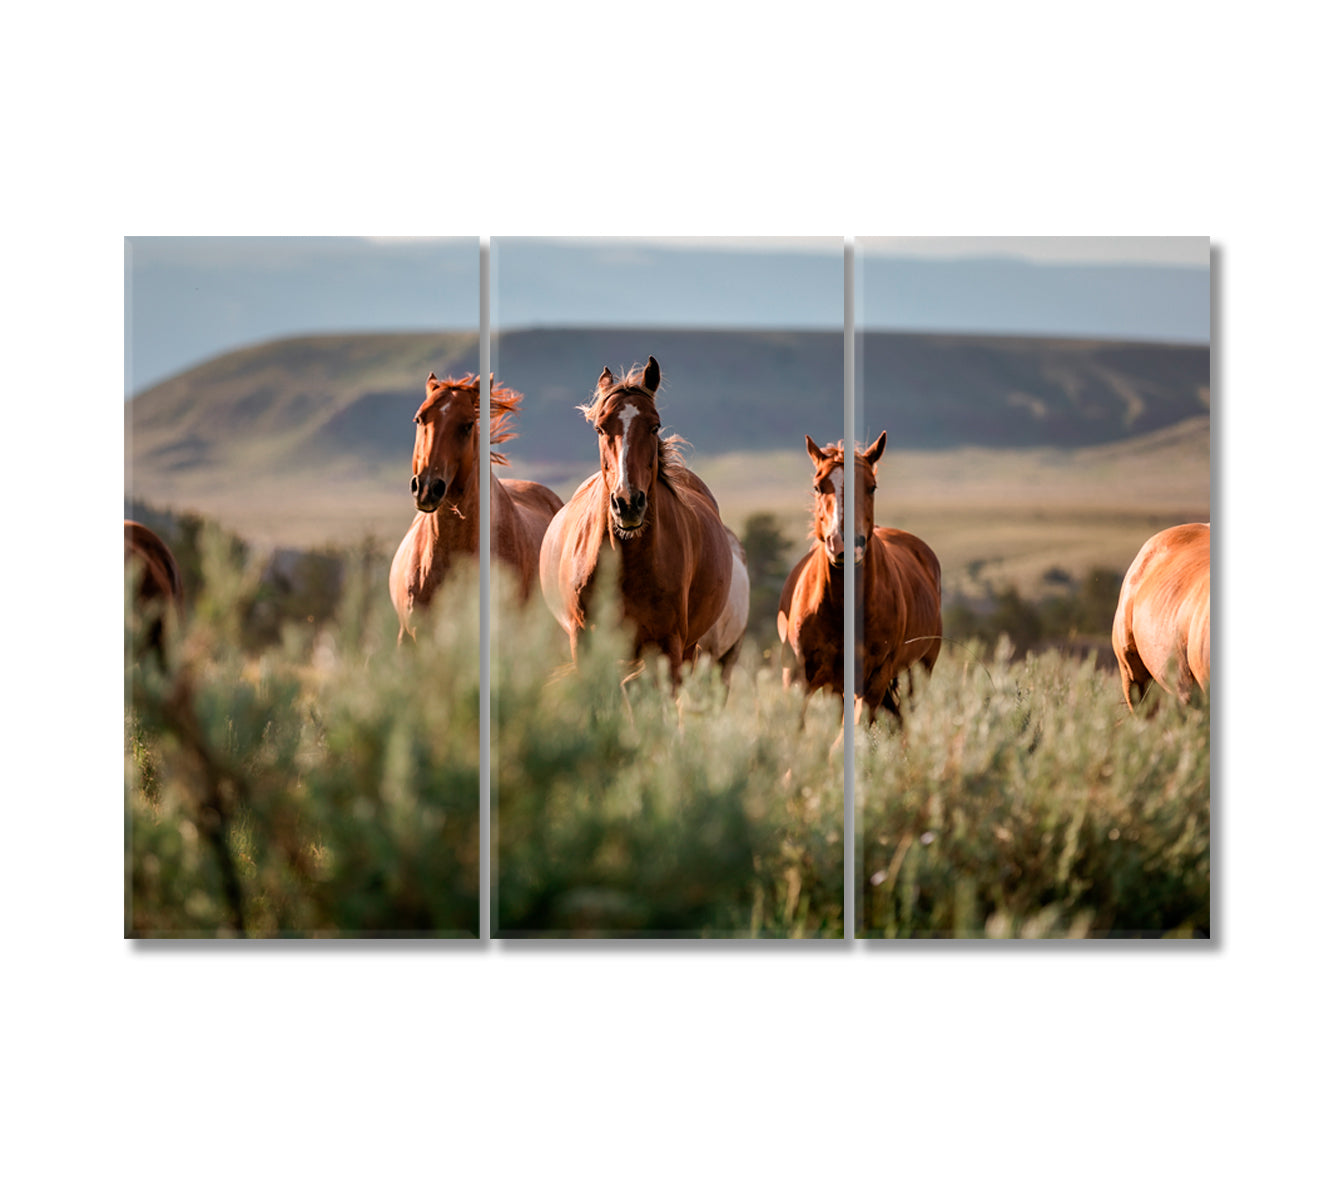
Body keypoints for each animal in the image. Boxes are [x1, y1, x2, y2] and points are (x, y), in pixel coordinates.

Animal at [779, 434, 944, 725]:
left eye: (872, 487)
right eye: (818, 486)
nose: (844, 544)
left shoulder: (873, 681)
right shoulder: (799, 677)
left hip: (917, 674)